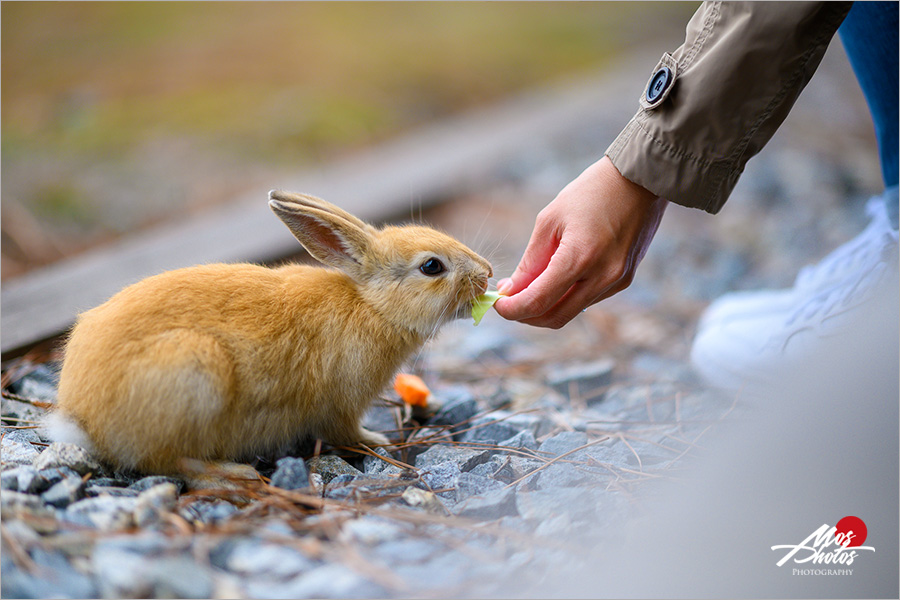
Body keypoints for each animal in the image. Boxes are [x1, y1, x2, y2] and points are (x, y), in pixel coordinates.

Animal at [46, 190, 492, 476]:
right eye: (431, 267)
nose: (486, 273)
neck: (371, 306)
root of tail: (83, 419)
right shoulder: (343, 403)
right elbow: (346, 431)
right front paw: (379, 439)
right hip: (194, 373)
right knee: (170, 462)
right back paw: (233, 473)